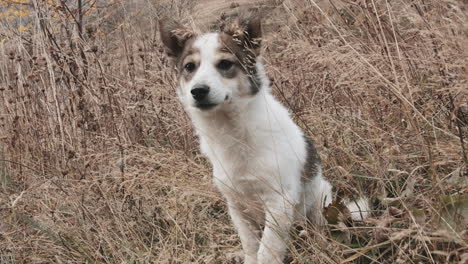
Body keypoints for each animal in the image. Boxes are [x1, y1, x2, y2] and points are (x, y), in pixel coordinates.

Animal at [159, 13, 368, 264]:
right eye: (190, 67)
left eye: (225, 64)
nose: (198, 91)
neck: (234, 131)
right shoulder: (237, 206)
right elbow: (250, 245)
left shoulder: (278, 202)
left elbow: (268, 250)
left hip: (321, 203)